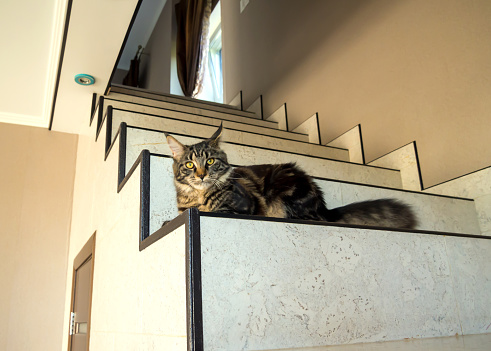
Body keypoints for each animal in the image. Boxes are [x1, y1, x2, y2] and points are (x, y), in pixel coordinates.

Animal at [166, 125, 418, 230]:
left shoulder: (242, 207)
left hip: (283, 196)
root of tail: (324, 206)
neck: (199, 197)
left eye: (209, 162)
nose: (201, 176)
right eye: (190, 165)